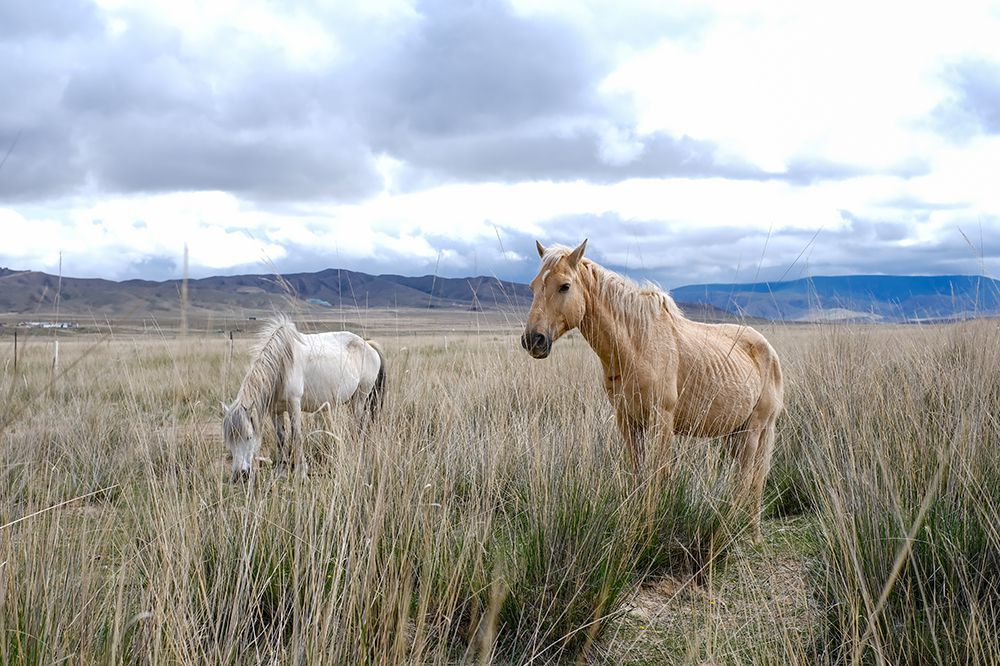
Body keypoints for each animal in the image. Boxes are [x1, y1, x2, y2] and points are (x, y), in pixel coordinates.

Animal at [223, 314, 386, 480]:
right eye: (229, 440)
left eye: (249, 437)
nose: (239, 475)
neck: (282, 365)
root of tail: (368, 344)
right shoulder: (274, 410)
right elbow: (281, 437)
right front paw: (280, 471)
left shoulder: (294, 405)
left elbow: (297, 436)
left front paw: (301, 474)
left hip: (360, 398)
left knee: (360, 427)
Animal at [520, 239, 784, 540]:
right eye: (533, 286)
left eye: (565, 286)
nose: (534, 340)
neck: (635, 345)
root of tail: (768, 350)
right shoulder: (627, 421)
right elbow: (637, 473)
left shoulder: (662, 421)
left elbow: (657, 476)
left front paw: (649, 532)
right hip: (734, 433)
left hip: (756, 428)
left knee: (749, 478)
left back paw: (740, 533)